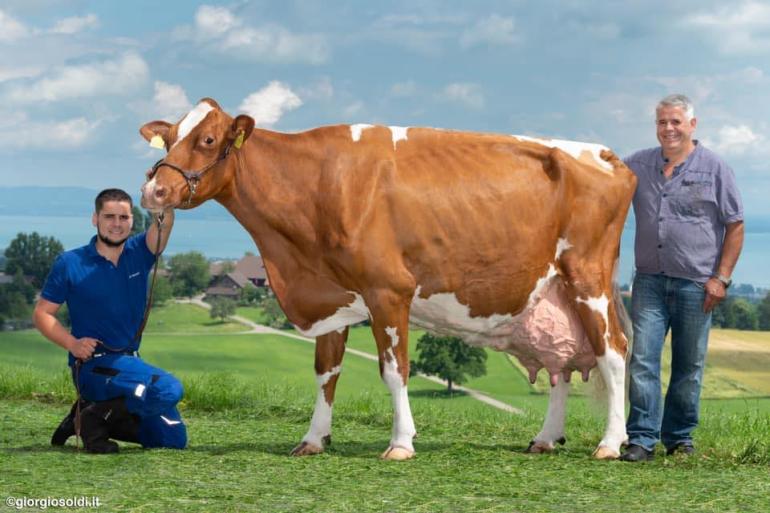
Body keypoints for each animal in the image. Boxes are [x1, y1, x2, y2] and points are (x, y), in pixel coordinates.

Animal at [140, 98, 636, 458]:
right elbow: (326, 372)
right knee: (561, 365)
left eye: (207, 139)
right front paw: (313, 439)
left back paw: (611, 443)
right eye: (168, 140)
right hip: (554, 293)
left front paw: (400, 442)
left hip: (587, 277)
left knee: (613, 353)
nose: (153, 190)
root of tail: (607, 155)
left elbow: (395, 370)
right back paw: (546, 438)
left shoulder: (388, 291)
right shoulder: (333, 295)